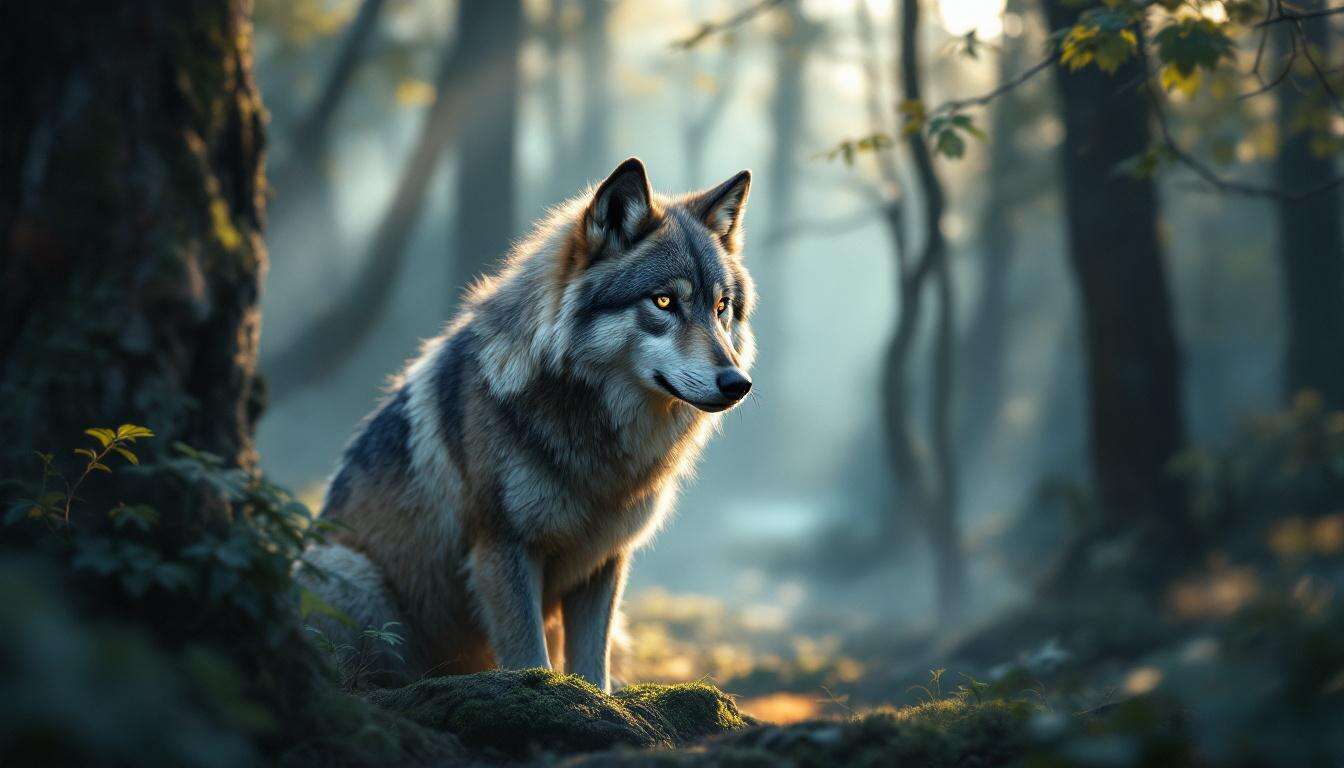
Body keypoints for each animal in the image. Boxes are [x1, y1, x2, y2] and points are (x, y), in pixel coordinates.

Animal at [300, 158, 755, 692]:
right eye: (663, 302)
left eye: (721, 307)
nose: (738, 383)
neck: (596, 439)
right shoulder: (503, 552)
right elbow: (529, 659)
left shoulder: (604, 561)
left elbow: (592, 668)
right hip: (350, 575)